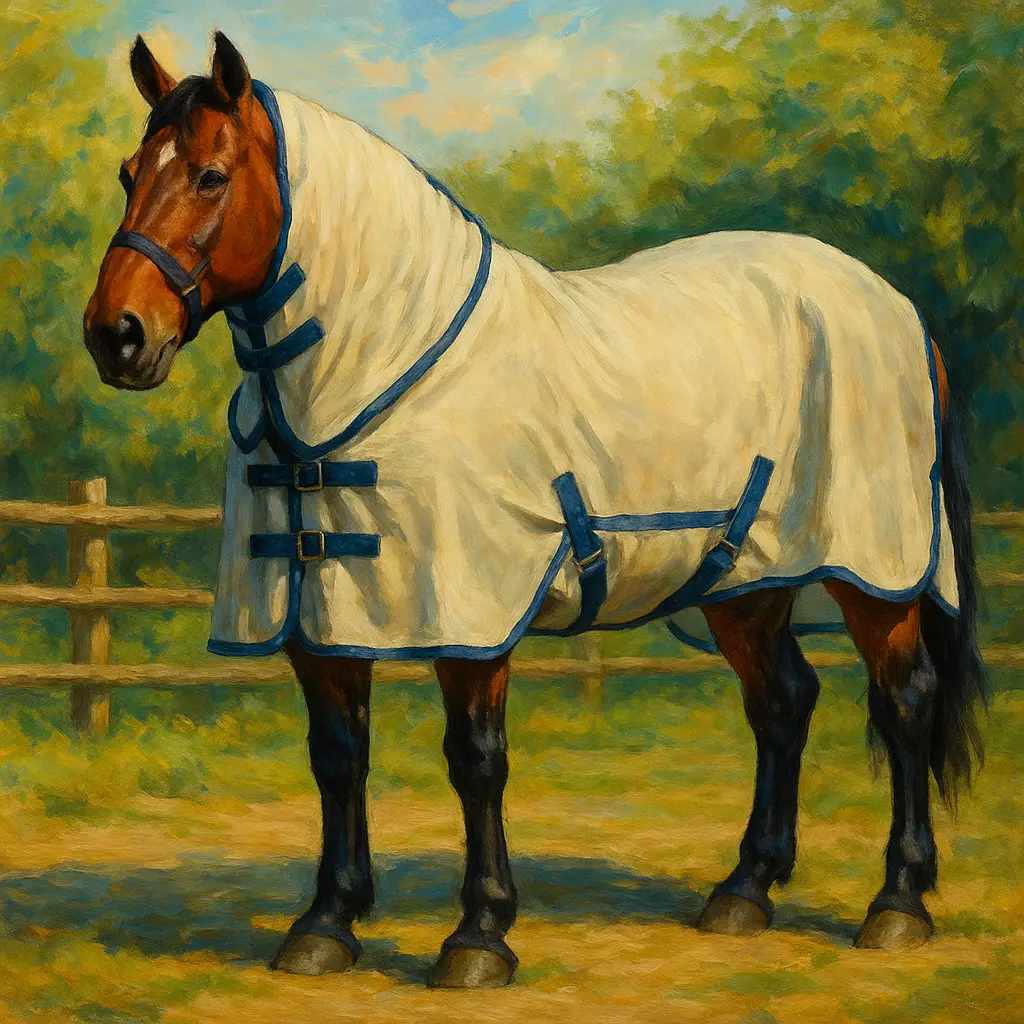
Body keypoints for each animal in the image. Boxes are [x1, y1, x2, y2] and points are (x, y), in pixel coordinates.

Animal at [84, 32, 986, 989]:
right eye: (129, 171)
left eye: (212, 175)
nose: (117, 334)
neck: (386, 366)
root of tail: (895, 306)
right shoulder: (318, 616)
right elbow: (338, 756)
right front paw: (326, 923)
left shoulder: (472, 616)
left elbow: (476, 762)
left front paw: (479, 936)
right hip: (746, 582)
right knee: (783, 702)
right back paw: (745, 890)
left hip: (875, 575)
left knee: (905, 701)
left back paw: (898, 904)